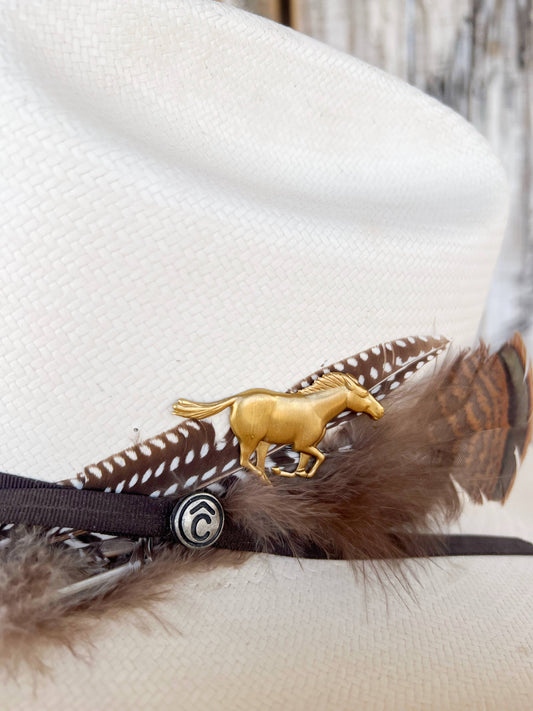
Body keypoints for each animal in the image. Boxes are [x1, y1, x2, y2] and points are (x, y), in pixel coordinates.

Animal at [173, 372, 384, 484]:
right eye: (363, 394)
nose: (380, 411)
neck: (317, 409)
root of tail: (237, 399)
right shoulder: (302, 445)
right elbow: (321, 457)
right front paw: (288, 472)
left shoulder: (305, 448)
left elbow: (303, 465)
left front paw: (297, 473)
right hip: (250, 440)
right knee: (245, 462)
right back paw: (265, 480)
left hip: (263, 444)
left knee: (256, 463)